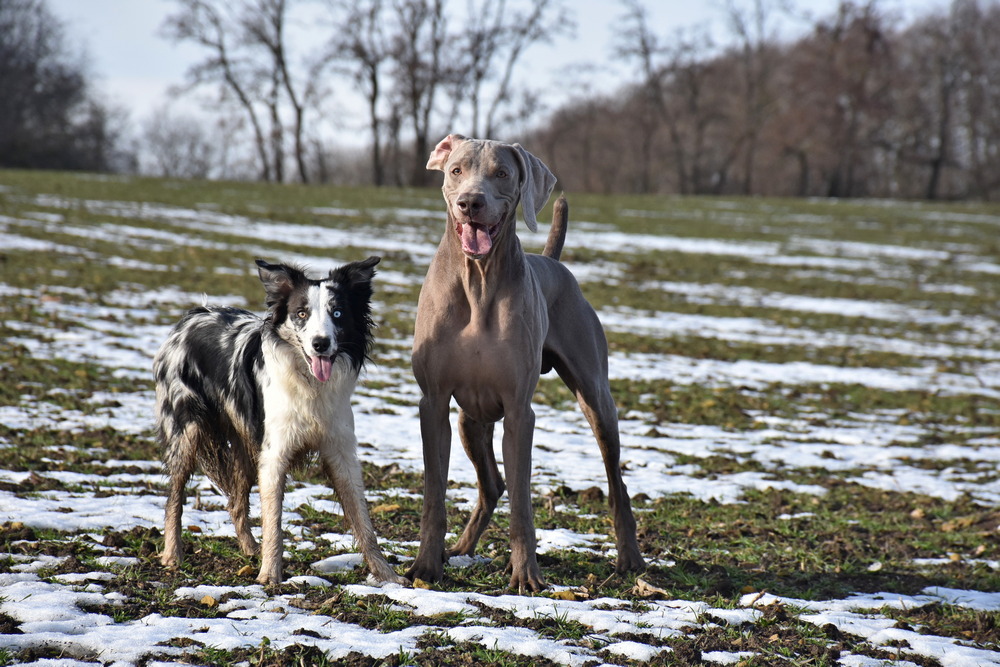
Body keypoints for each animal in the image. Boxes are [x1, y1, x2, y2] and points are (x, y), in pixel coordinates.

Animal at [154, 258, 404, 588]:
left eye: (337, 313)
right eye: (301, 314)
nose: (320, 343)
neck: (310, 384)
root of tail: (194, 314)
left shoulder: (341, 452)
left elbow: (363, 520)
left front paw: (386, 574)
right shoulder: (274, 455)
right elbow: (274, 521)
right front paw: (270, 574)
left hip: (247, 446)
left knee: (235, 503)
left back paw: (250, 549)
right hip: (187, 432)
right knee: (174, 498)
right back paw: (172, 555)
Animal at [408, 134, 648, 588]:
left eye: (502, 174)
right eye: (456, 170)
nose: (471, 202)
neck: (479, 281)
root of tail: (552, 261)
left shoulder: (520, 411)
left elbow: (523, 501)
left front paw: (525, 575)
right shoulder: (434, 403)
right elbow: (434, 495)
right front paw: (425, 567)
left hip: (596, 399)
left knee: (616, 483)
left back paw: (631, 558)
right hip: (470, 420)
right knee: (492, 485)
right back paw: (459, 548)